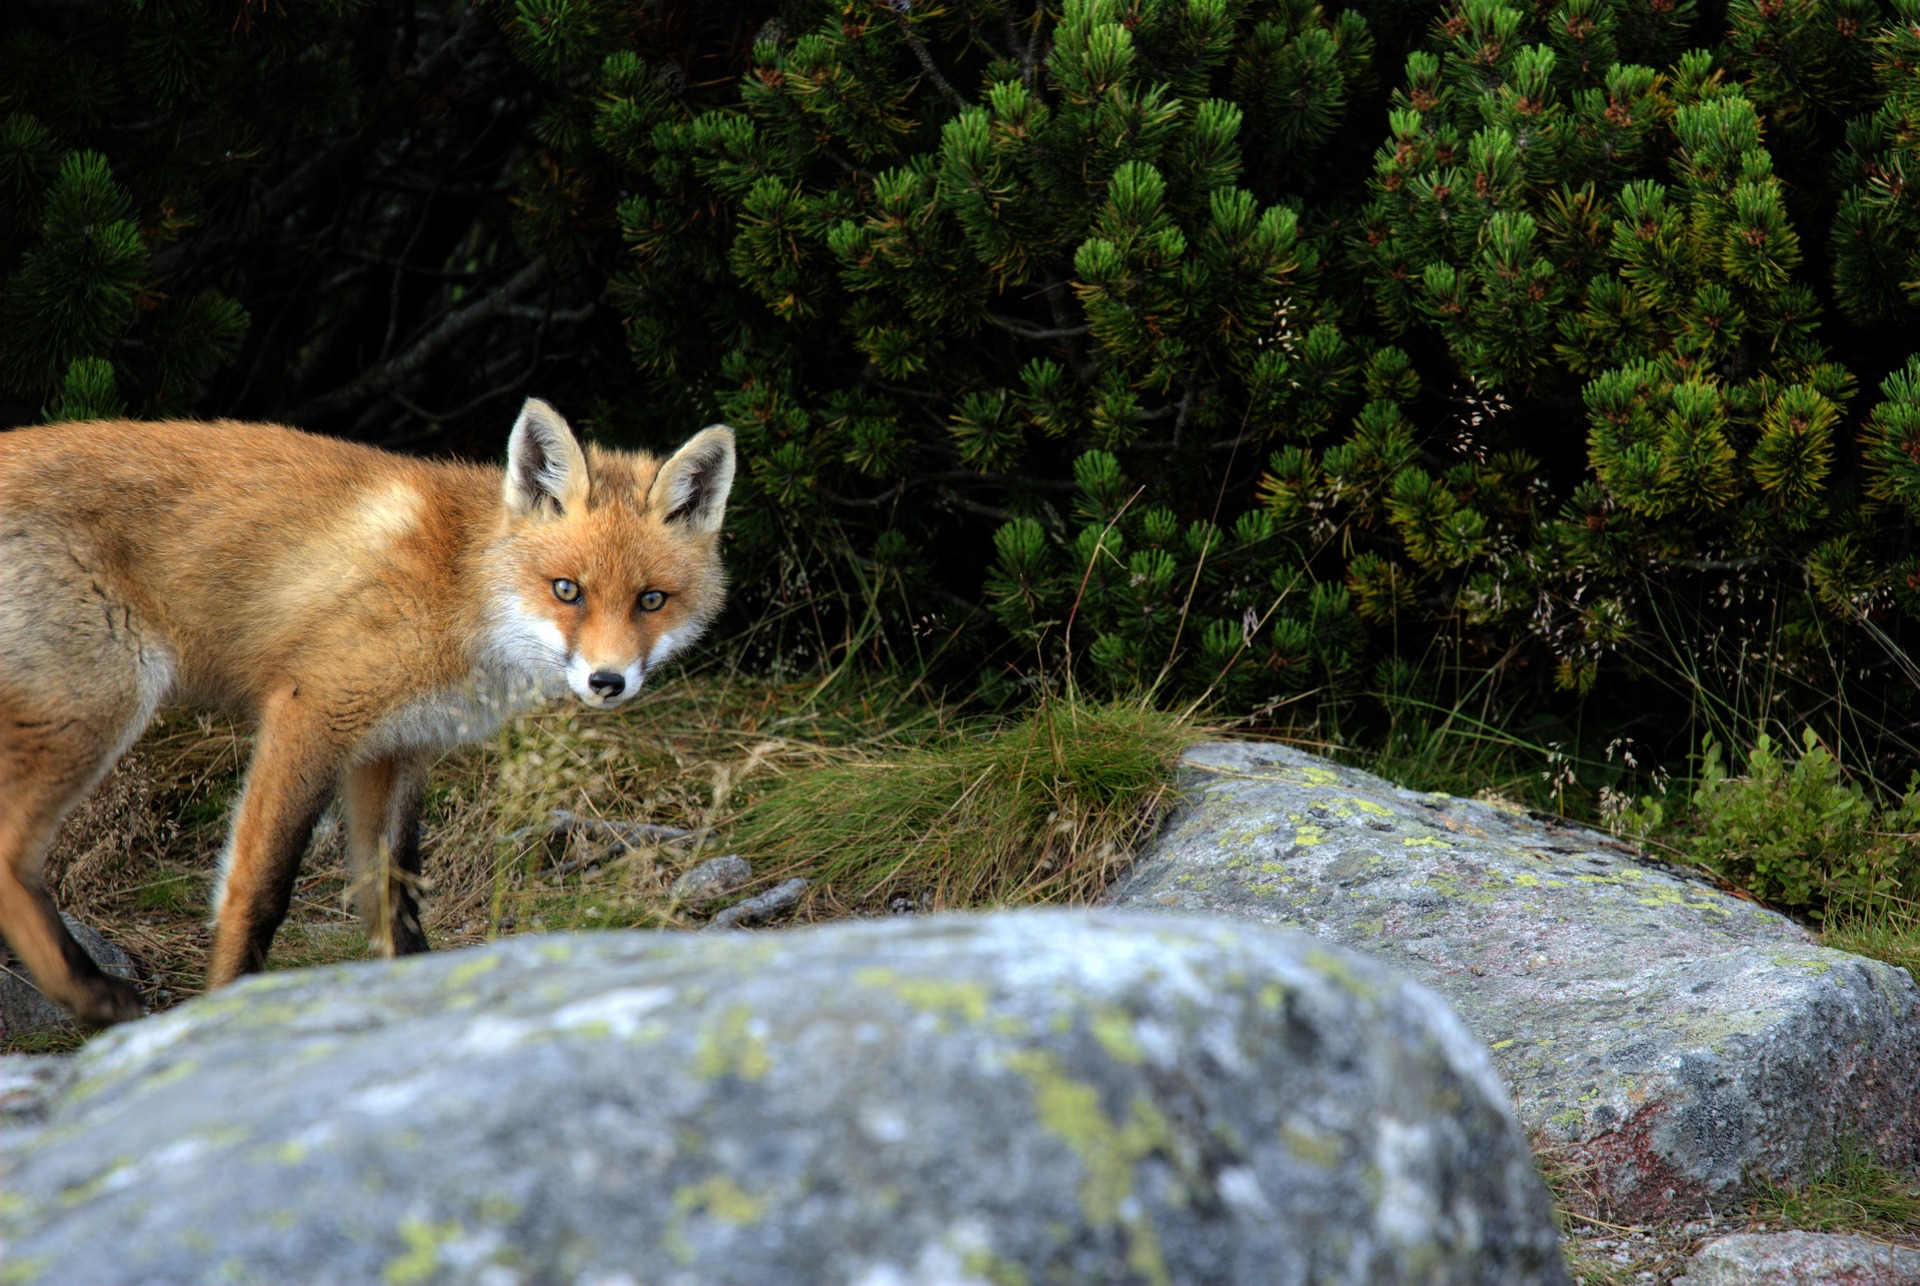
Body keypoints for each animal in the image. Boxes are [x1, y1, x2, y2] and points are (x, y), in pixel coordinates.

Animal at [0, 401, 733, 1028]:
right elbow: (259, 891)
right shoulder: (312, 710)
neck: (460, 587)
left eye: (651, 600)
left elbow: (395, 903)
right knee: (12, 851)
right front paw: (228, 1004)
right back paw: (90, 995)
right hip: (100, 700)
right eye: (567, 590)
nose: (607, 682)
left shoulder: (393, 750)